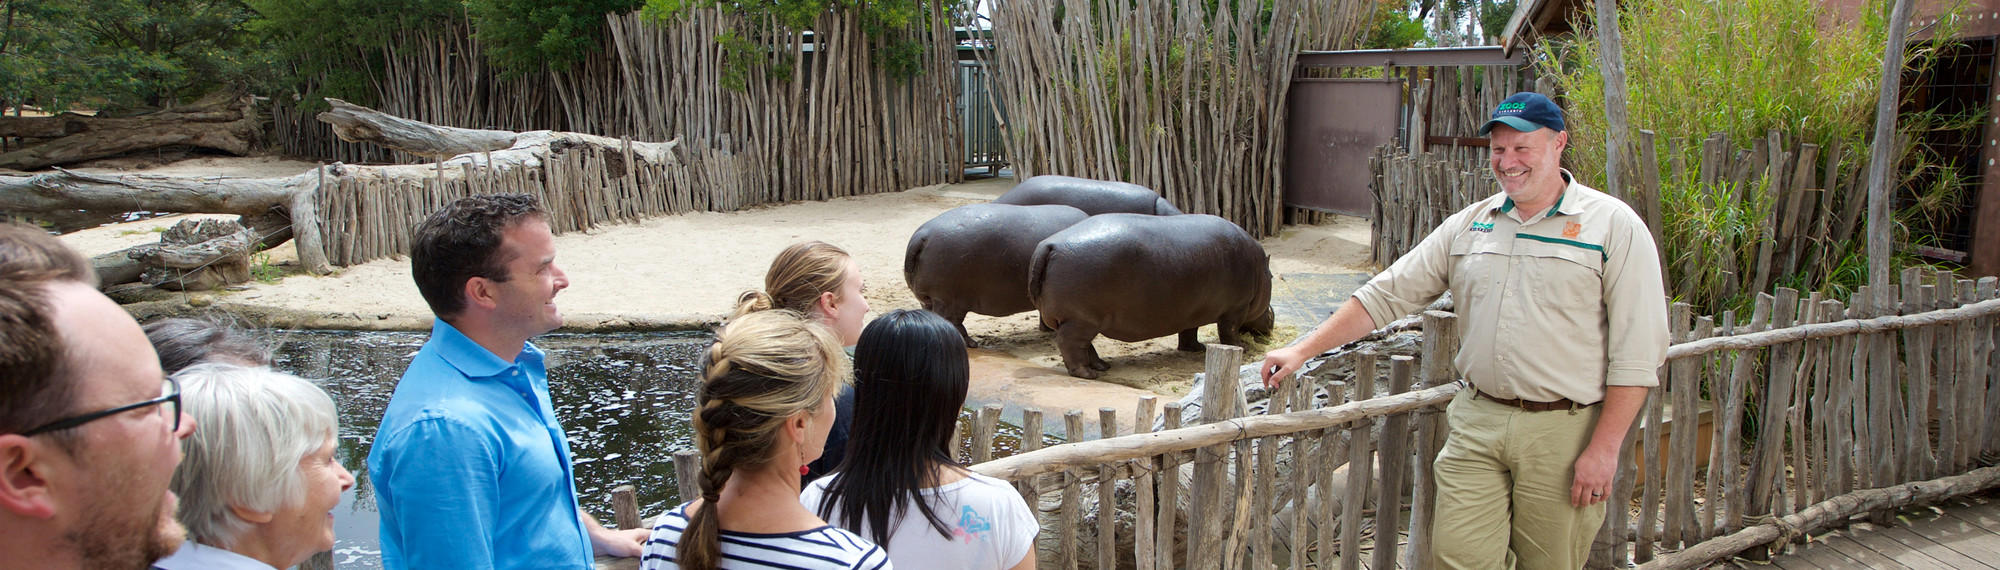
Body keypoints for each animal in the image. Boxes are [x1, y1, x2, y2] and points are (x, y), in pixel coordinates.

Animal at [912, 204, 1096, 346]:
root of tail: (922, 235)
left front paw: (1047, 330)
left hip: (930, 299)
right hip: (948, 300)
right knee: (951, 321)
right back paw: (972, 344)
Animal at [1040, 213, 1272, 378]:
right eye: (1271, 276)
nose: (1272, 316)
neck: (1259, 268)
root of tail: (1050, 245)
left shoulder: (1192, 310)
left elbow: (1189, 331)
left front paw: (1197, 348)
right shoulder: (1236, 308)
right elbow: (1229, 332)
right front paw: (1242, 348)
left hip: (1082, 321)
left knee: (1085, 346)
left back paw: (1103, 366)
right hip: (1079, 320)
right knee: (1070, 344)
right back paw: (1089, 374)